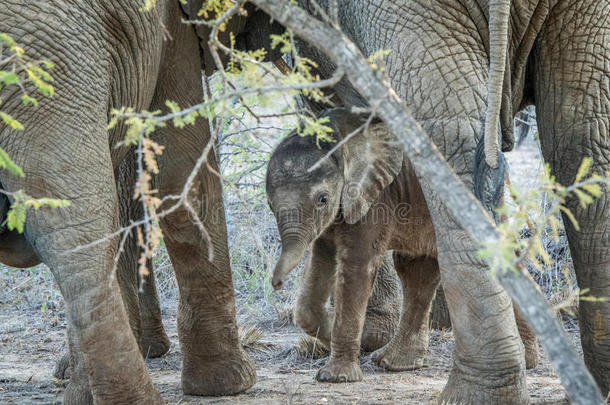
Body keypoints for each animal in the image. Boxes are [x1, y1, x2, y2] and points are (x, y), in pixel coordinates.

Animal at [266, 108, 536, 382]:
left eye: (322, 199)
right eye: (269, 204)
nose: (276, 284)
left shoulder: (376, 198)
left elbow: (356, 265)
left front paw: (337, 377)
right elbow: (321, 260)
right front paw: (337, 334)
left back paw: (528, 361)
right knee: (415, 269)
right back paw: (393, 363)